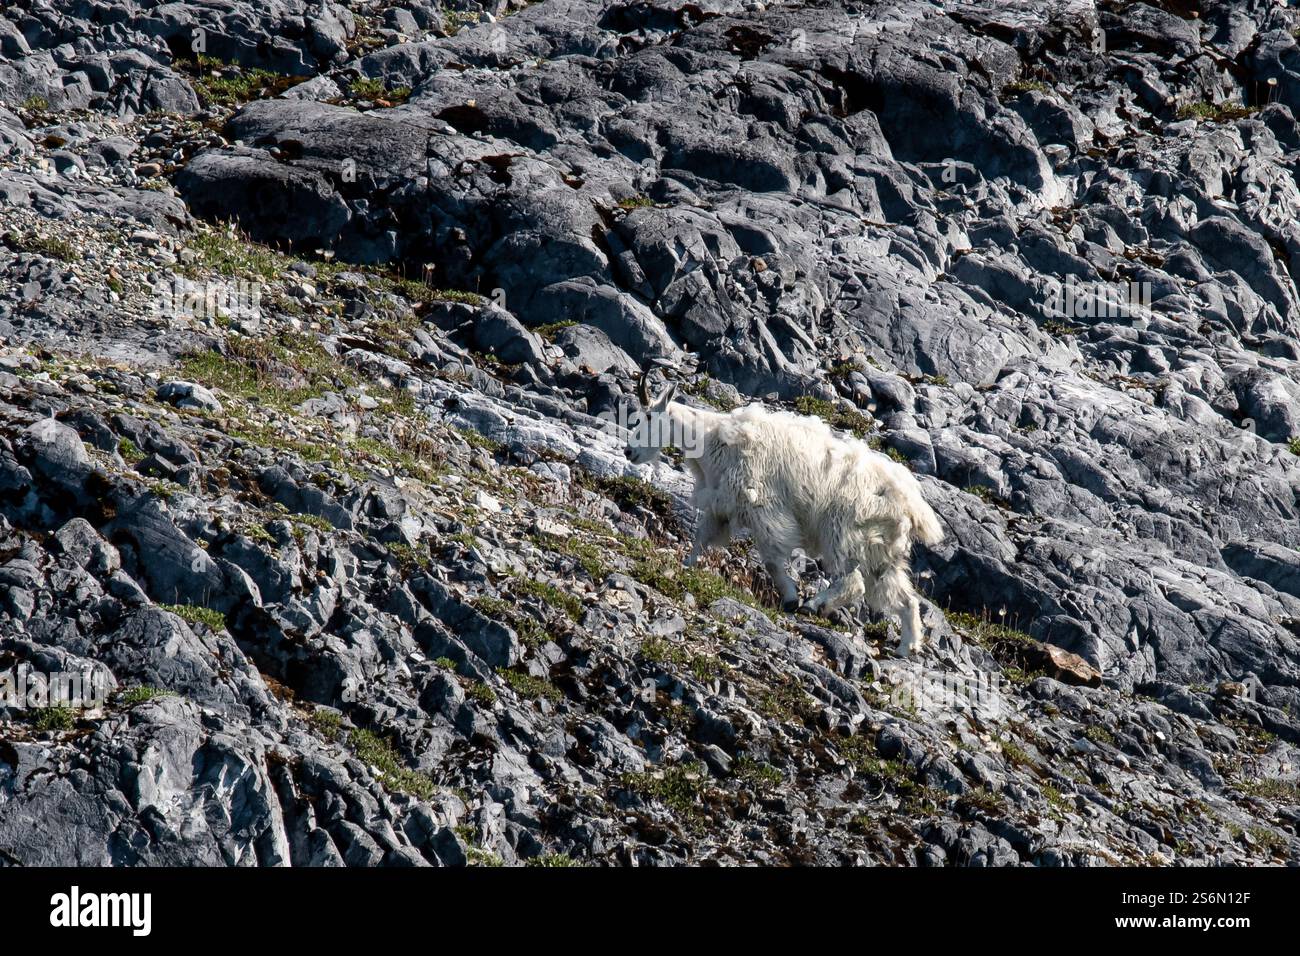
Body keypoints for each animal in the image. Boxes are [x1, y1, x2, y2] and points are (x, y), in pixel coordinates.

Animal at [623, 371, 944, 655]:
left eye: (648, 417)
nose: (629, 452)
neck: (711, 440)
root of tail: (912, 505)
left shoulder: (764, 508)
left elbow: (772, 561)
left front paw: (790, 598)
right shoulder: (720, 506)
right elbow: (700, 540)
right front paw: (684, 566)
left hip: (846, 530)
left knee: (853, 581)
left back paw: (814, 605)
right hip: (881, 548)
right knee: (902, 597)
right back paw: (907, 646)